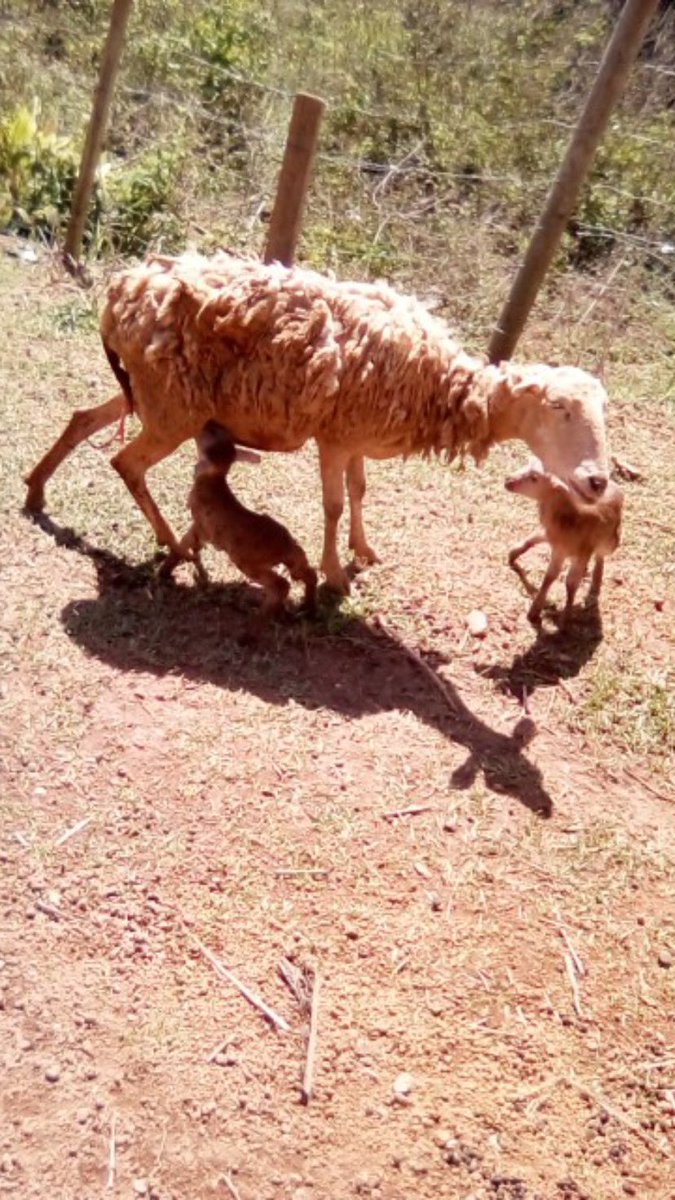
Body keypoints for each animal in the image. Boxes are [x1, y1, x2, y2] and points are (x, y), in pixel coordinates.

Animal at [24, 251, 610, 594]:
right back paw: (174, 546)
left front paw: (363, 550)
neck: (437, 383)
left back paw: (35, 493)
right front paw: (332, 574)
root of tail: (122, 290)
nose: (598, 481)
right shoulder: (335, 437)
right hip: (170, 408)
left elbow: (359, 489)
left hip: (150, 393)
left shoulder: (356, 438)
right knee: (127, 463)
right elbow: (332, 504)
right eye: (558, 408)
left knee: (83, 419)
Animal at [161, 419, 317, 632]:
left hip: (247, 561)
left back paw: (253, 628)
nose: (208, 422)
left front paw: (164, 572)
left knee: (280, 585)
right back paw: (307, 608)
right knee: (308, 573)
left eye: (211, 433)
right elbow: (195, 549)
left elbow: (183, 545)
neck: (212, 480)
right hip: (292, 557)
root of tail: (286, 546)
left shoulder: (199, 525)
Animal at [505, 460, 623, 625]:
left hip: (610, 541)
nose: (508, 480)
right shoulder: (554, 542)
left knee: (600, 556)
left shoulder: (580, 552)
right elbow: (547, 572)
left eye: (535, 478)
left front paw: (565, 616)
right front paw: (513, 555)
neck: (572, 518)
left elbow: (570, 583)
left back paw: (596, 581)